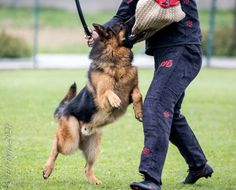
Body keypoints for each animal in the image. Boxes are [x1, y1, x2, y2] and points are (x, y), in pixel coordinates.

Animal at [42, 23, 142, 185]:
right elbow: (108, 92)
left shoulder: (131, 91)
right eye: (120, 26)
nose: (133, 20)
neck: (116, 63)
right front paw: (115, 100)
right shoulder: (102, 100)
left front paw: (139, 112)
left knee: (86, 167)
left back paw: (94, 180)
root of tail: (65, 110)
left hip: (93, 148)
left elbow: (138, 94)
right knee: (56, 144)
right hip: (70, 142)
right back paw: (47, 169)